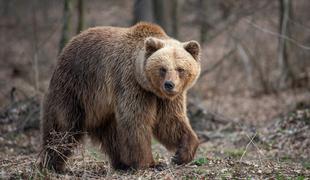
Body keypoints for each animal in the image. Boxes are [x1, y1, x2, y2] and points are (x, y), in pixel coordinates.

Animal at [40, 21, 201, 171]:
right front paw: (150, 163)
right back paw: (52, 164)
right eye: (162, 69)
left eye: (180, 69)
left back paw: (122, 163)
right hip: (75, 86)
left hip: (102, 107)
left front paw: (181, 154)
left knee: (111, 134)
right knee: (63, 127)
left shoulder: (165, 98)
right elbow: (135, 120)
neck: (147, 84)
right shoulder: (130, 83)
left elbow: (170, 121)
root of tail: (70, 43)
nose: (169, 84)